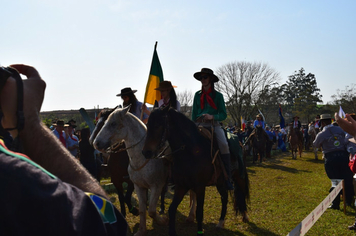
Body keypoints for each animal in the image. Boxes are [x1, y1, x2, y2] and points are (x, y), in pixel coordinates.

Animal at [92, 106, 169, 236]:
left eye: (113, 123)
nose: (95, 143)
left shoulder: (156, 186)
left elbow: (151, 210)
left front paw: (162, 221)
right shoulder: (136, 185)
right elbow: (140, 208)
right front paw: (141, 230)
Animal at [140, 108, 249, 236]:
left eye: (158, 125)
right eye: (148, 124)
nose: (146, 152)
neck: (190, 152)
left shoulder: (200, 187)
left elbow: (199, 212)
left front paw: (199, 231)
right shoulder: (181, 186)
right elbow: (172, 209)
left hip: (239, 177)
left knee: (242, 193)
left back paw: (245, 216)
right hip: (220, 182)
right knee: (225, 198)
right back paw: (221, 222)